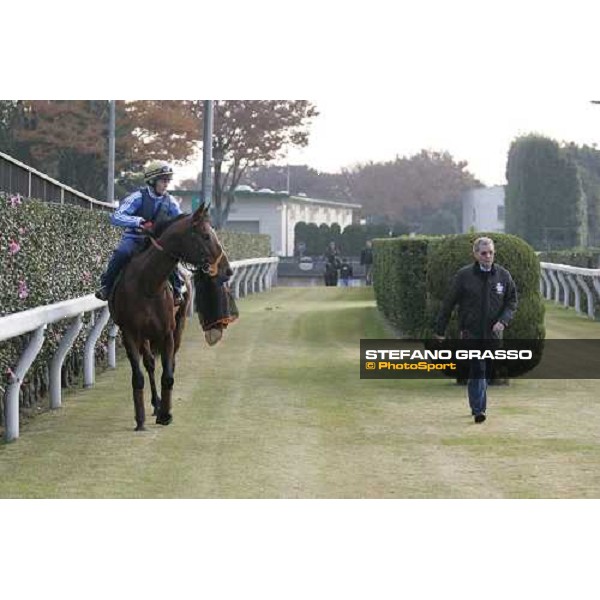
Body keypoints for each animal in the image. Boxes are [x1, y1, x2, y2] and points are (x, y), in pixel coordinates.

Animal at [110, 204, 232, 428]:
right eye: (205, 236)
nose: (227, 270)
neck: (147, 285)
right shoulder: (129, 332)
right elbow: (138, 375)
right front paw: (140, 419)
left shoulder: (167, 332)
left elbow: (167, 374)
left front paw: (166, 415)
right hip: (145, 335)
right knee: (149, 363)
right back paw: (155, 403)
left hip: (179, 323)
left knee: (171, 361)